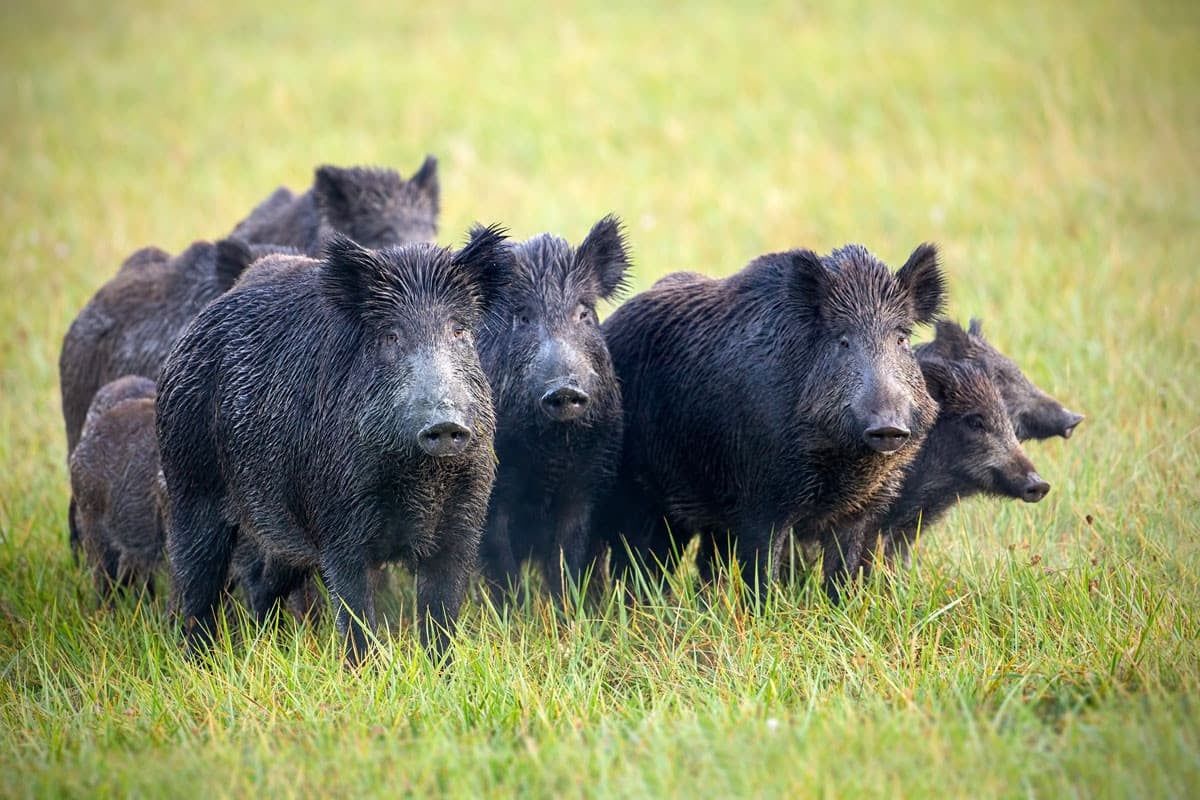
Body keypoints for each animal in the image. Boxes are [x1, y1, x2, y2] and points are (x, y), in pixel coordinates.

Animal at [156, 228, 513, 664]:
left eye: (459, 331)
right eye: (390, 336)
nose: (445, 423)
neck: (420, 478)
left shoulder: (462, 525)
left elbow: (441, 618)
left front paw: (441, 671)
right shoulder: (339, 526)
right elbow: (357, 618)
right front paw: (366, 672)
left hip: (278, 531)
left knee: (261, 583)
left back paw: (267, 645)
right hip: (190, 487)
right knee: (197, 585)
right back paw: (199, 661)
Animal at [476, 216, 631, 602]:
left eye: (584, 312)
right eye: (523, 317)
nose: (564, 389)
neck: (552, 452)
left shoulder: (587, 483)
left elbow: (568, 557)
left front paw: (569, 610)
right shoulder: (494, 495)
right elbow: (501, 563)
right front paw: (515, 612)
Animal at [599, 243, 946, 595]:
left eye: (901, 339)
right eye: (843, 340)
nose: (888, 426)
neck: (843, 461)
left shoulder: (859, 511)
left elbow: (841, 575)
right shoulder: (762, 500)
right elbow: (763, 573)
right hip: (639, 495)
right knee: (638, 563)